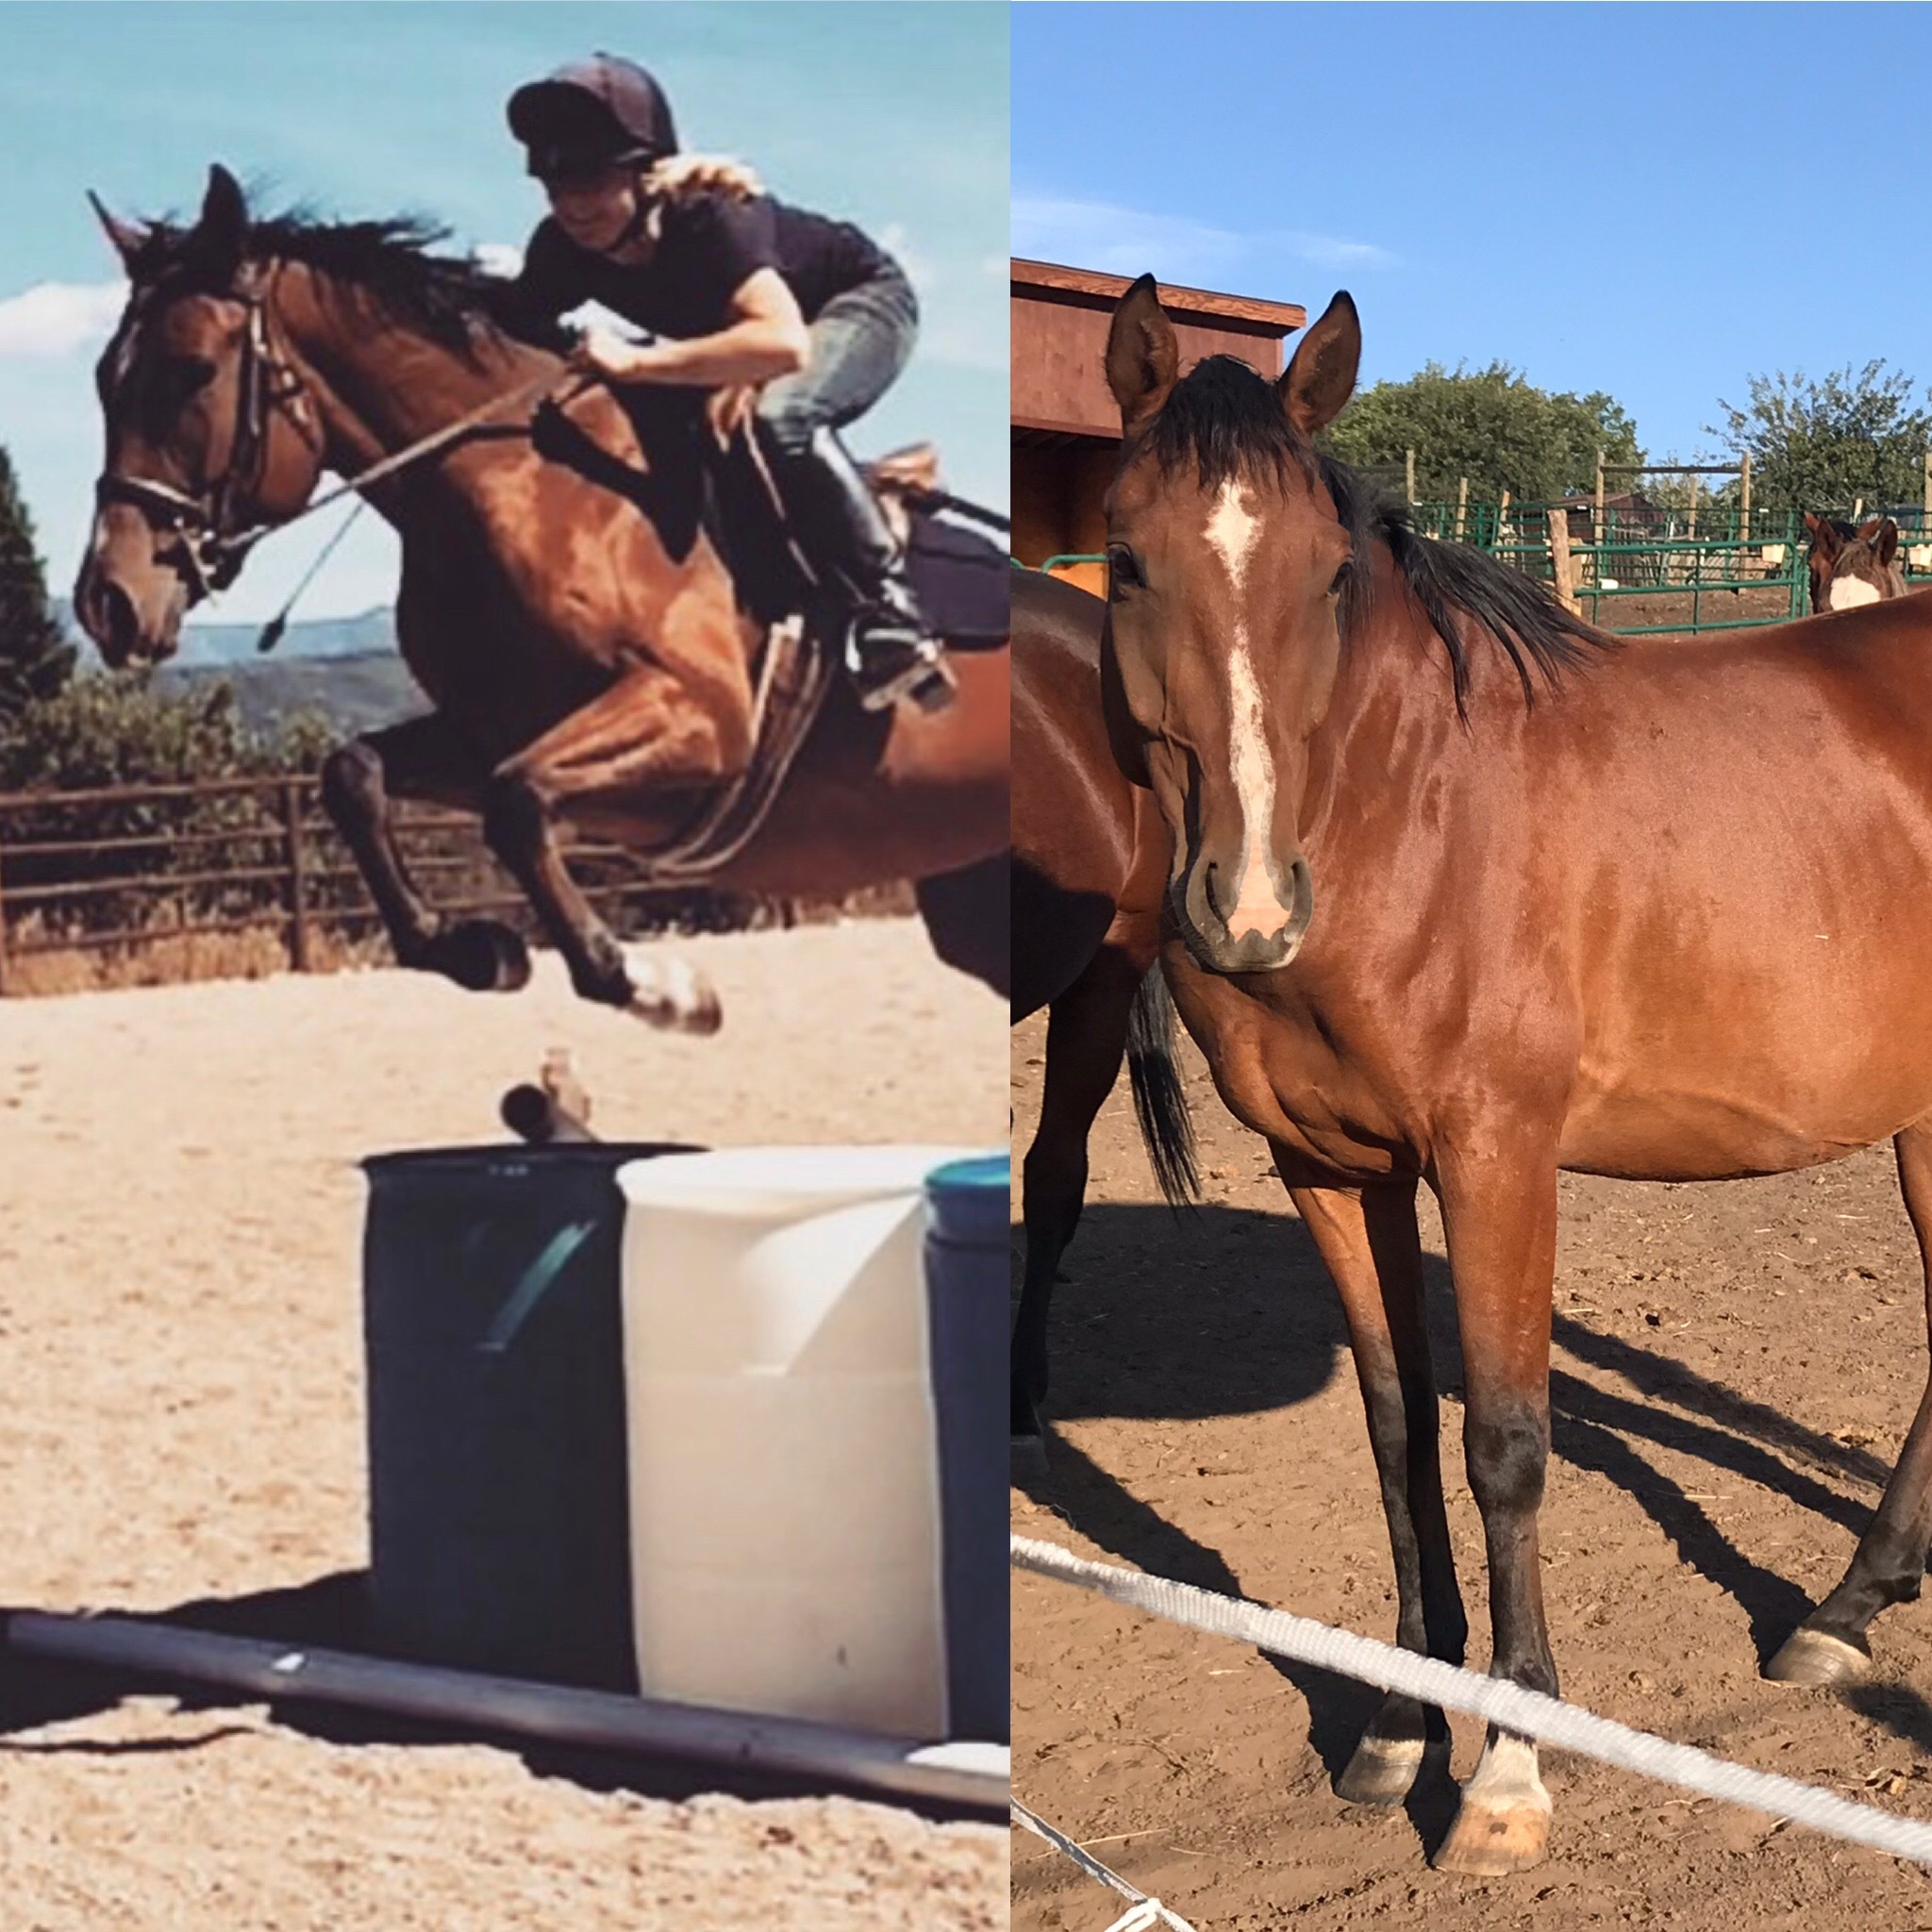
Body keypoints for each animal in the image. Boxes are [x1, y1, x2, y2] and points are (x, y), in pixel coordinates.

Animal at [74, 166, 1008, 1028]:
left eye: (194, 373)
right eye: (103, 380)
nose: (106, 603)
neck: (521, 486)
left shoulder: (702, 716)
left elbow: (516, 804)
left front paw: (654, 986)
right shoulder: (486, 728)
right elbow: (357, 775)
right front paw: (467, 949)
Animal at [1096, 271, 1932, 1876]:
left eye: (1331, 577)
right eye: (1124, 559)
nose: (1247, 905)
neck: (1409, 817)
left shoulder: (1498, 1160)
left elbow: (1504, 1443)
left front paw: (1510, 1768)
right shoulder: (1329, 1168)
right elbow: (1395, 1430)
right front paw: (1397, 1722)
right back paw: (1848, 1610)